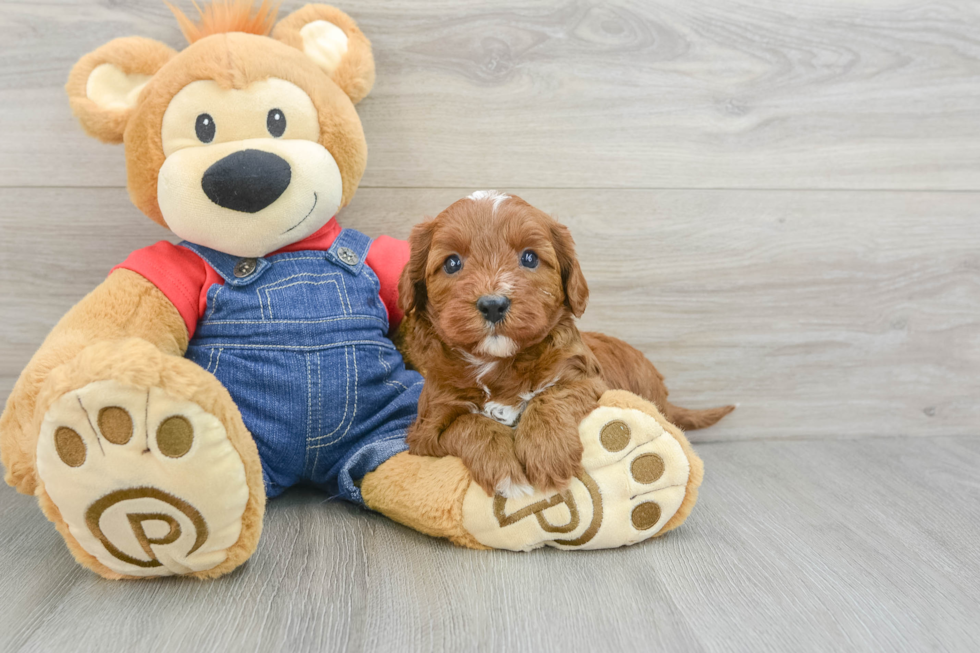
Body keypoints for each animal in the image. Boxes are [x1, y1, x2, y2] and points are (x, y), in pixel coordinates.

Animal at [398, 191, 736, 496]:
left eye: (529, 257)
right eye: (452, 263)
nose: (493, 305)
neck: (498, 364)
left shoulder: (588, 381)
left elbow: (551, 396)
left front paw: (548, 452)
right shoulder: (426, 428)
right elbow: (469, 424)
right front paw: (505, 472)